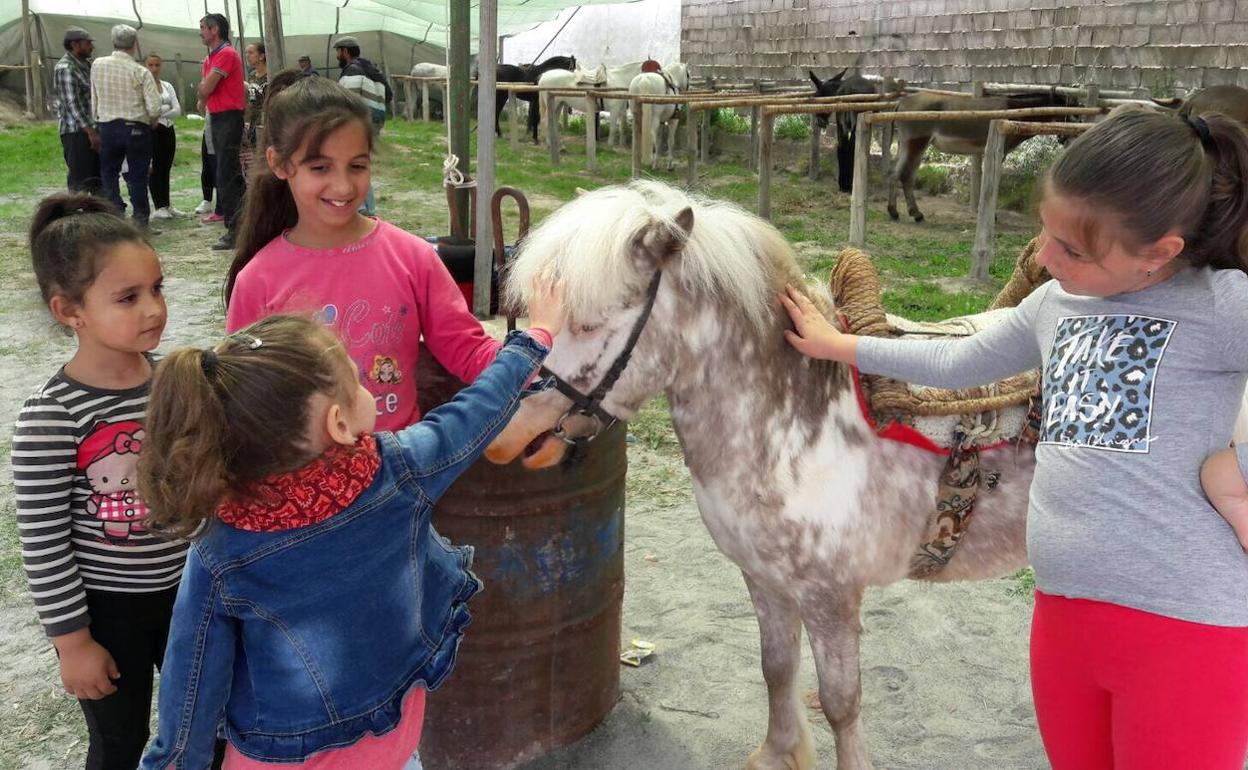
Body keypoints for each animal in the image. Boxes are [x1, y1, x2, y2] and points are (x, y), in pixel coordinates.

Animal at [485, 180, 1035, 770]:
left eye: (587, 323)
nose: (509, 431)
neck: (796, 427)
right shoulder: (764, 579)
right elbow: (777, 668)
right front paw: (777, 752)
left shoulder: (830, 597)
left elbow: (840, 702)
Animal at [888, 90, 1078, 223]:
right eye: (1074, 114)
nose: (1071, 139)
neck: (1015, 112)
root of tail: (902, 102)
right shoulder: (998, 151)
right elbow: (994, 182)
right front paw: (990, 215)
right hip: (916, 142)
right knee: (904, 174)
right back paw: (910, 213)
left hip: (906, 144)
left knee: (896, 174)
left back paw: (898, 212)